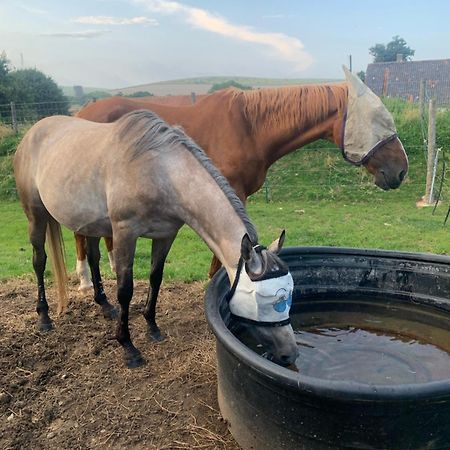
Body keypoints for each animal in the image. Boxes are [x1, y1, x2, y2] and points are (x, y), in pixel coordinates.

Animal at [14, 110, 298, 368]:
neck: (160, 171)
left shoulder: (165, 235)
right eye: (265, 300)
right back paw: (44, 317)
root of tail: (32, 133)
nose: (290, 354)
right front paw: (128, 347)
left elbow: (155, 278)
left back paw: (104, 306)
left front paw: (152, 327)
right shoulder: (125, 233)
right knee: (39, 260)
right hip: (35, 215)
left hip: (91, 223)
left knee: (94, 258)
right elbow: (125, 290)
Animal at [76, 67, 408, 286]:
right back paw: (85, 281)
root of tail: (81, 113)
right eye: (379, 120)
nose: (401, 170)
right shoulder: (227, 194)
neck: (249, 128)